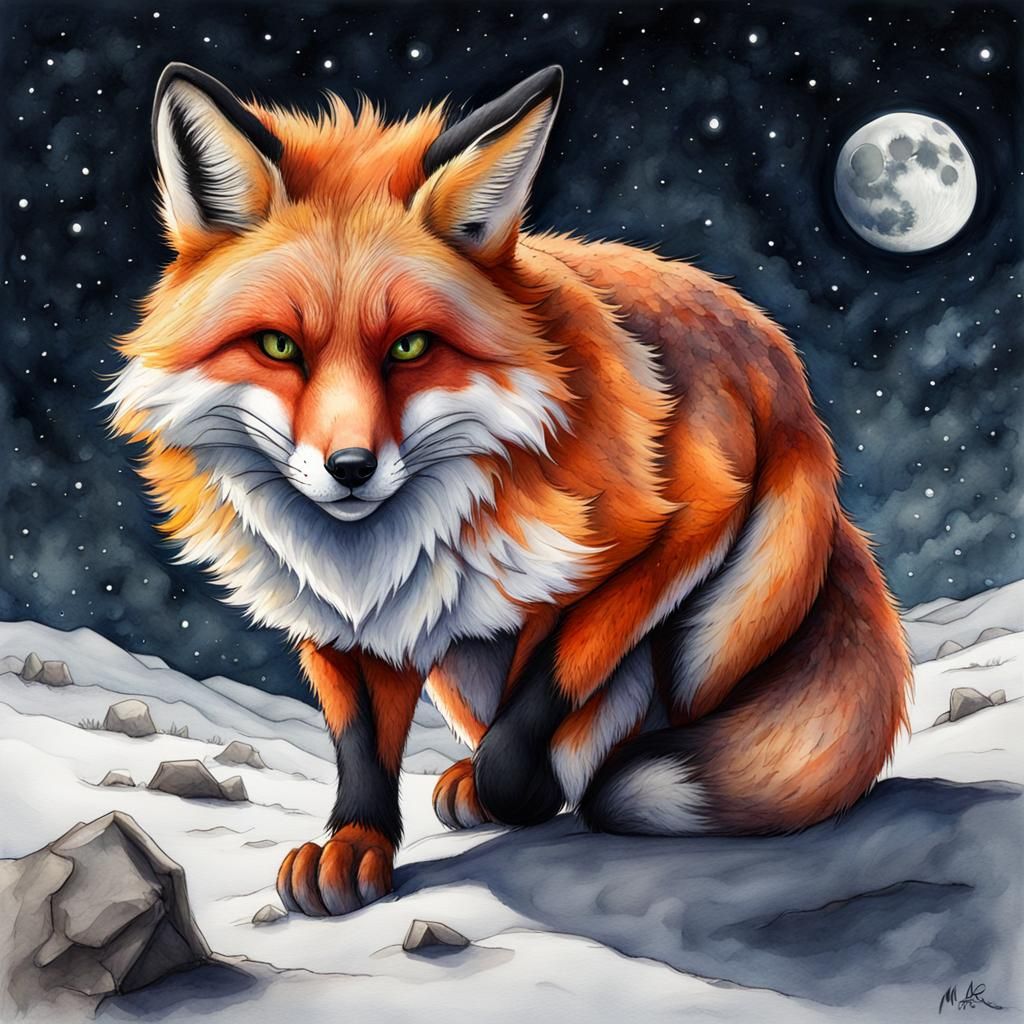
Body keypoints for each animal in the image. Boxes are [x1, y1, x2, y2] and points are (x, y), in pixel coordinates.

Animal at [107, 62, 912, 918]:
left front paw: (522, 787)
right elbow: (361, 743)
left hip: (719, 625)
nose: (350, 467)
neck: (380, 550)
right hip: (457, 655)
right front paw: (356, 842)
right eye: (278, 347)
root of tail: (770, 345)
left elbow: (556, 678)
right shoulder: (340, 617)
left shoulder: (680, 522)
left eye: (411, 347)